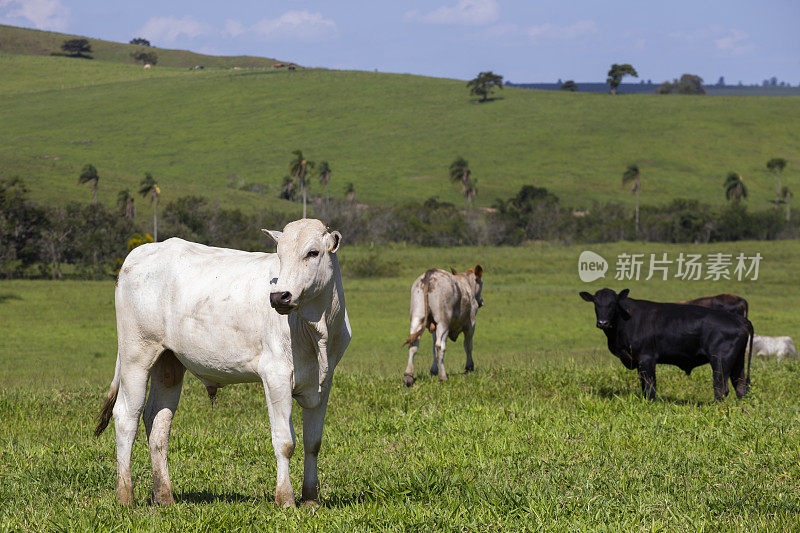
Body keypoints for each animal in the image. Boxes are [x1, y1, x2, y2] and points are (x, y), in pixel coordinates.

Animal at [94, 219, 350, 508]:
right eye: (280, 254)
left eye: (313, 253)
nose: (279, 296)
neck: (318, 331)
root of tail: (138, 254)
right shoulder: (275, 375)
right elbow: (285, 442)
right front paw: (285, 499)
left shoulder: (323, 382)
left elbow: (313, 443)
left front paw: (310, 499)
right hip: (136, 354)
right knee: (127, 416)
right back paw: (125, 496)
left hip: (168, 362)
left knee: (157, 420)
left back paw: (164, 496)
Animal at [580, 286, 752, 400]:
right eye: (595, 303)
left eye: (613, 303)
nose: (602, 322)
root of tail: (738, 319)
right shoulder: (638, 360)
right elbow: (644, 386)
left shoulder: (647, 358)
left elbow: (650, 387)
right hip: (738, 360)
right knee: (740, 385)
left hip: (720, 360)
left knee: (721, 388)